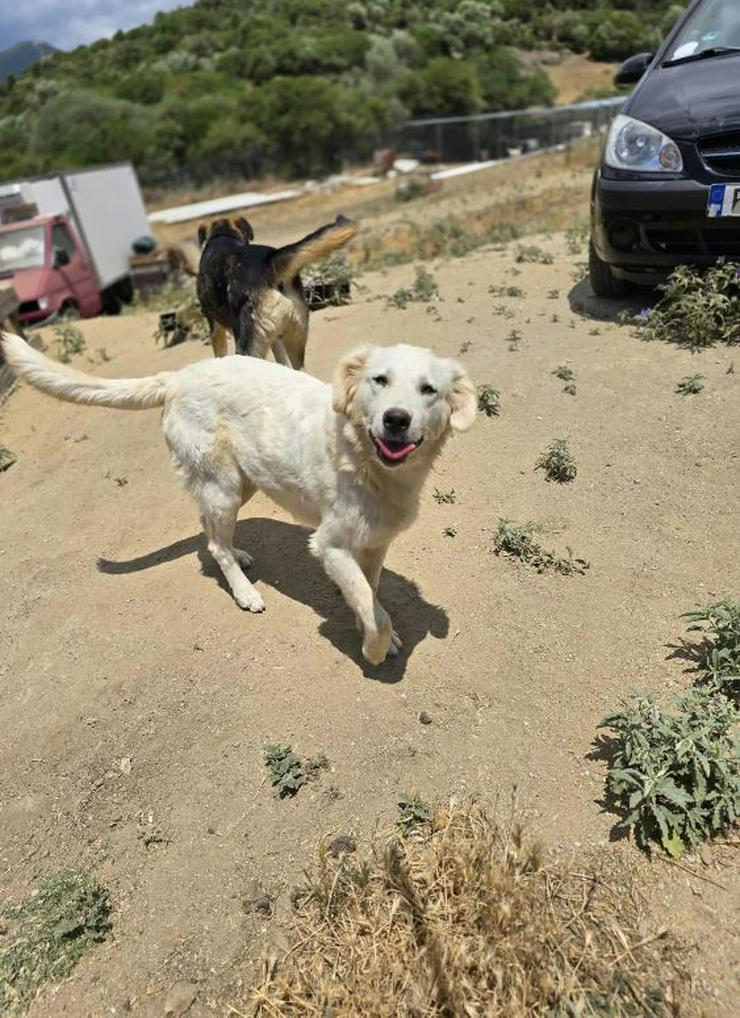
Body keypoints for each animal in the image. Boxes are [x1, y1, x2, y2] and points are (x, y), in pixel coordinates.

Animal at [1, 335, 474, 667]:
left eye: (428, 390)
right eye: (380, 380)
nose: (396, 420)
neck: (366, 460)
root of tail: (178, 376)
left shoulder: (375, 543)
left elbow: (369, 593)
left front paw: (370, 626)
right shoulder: (330, 544)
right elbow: (372, 607)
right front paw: (374, 649)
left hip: (242, 481)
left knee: (210, 532)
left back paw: (241, 555)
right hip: (223, 485)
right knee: (213, 545)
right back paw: (244, 590)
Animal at [196, 216, 358, 368]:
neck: (223, 235)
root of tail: (267, 264)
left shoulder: (215, 328)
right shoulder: (276, 338)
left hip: (247, 347)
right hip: (293, 341)